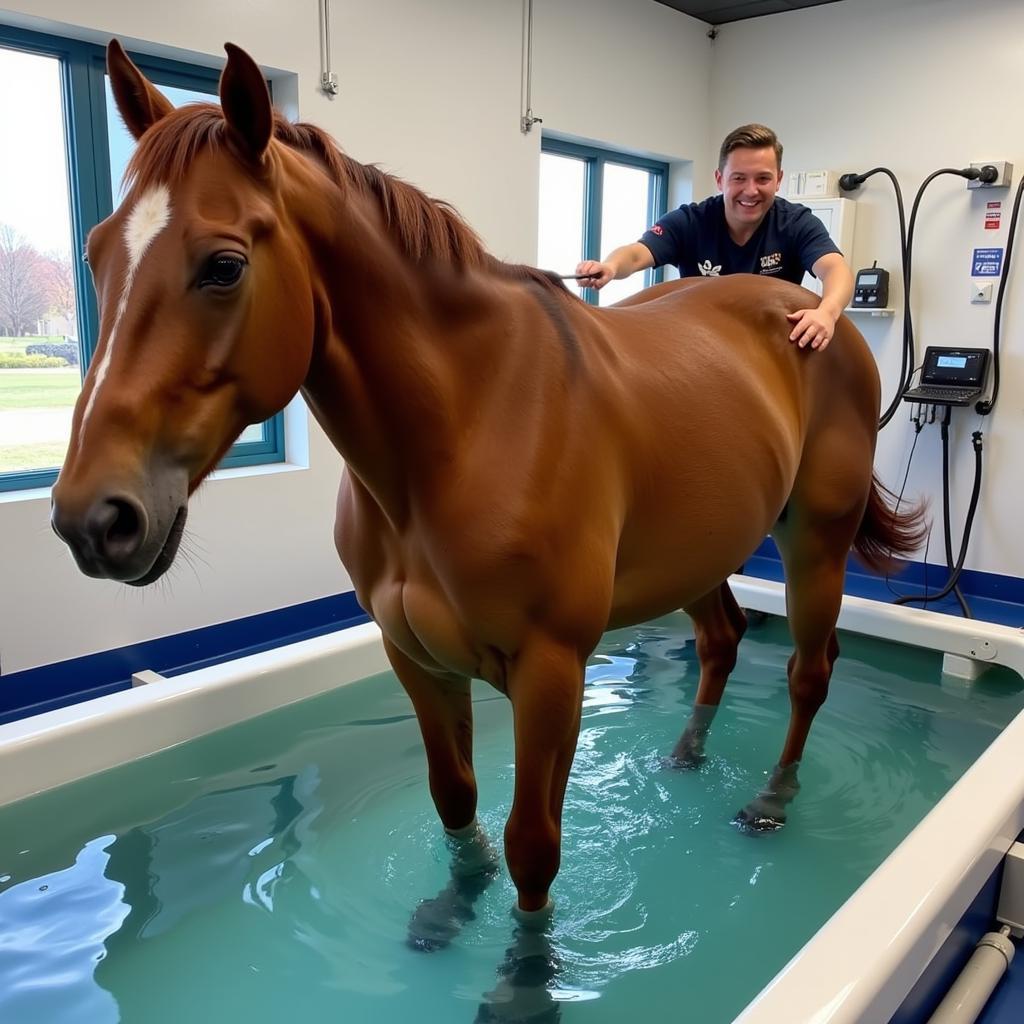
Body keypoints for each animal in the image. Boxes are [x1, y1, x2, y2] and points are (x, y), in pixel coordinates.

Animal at [51, 39, 925, 937]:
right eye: (96, 253)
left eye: (223, 266)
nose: (95, 519)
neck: (466, 425)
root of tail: (816, 315)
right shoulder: (416, 661)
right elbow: (455, 802)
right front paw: (451, 910)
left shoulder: (552, 673)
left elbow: (532, 846)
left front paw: (525, 965)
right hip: (701, 550)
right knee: (722, 639)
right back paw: (683, 758)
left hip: (814, 544)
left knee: (810, 672)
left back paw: (769, 803)